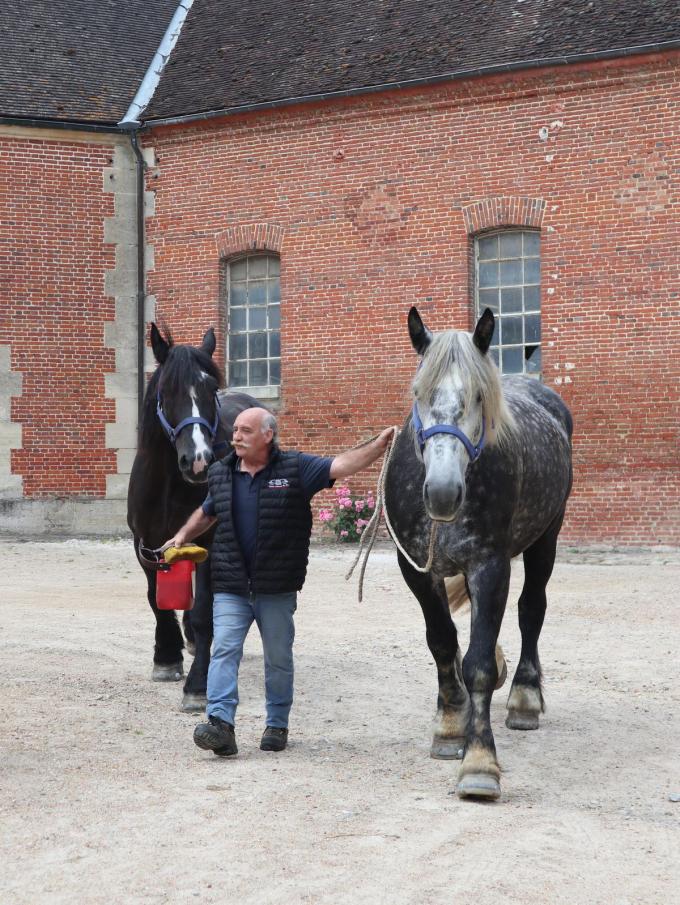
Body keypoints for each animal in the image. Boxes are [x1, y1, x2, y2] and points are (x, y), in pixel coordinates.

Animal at [127, 324, 258, 712]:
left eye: (210, 388)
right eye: (166, 391)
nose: (198, 461)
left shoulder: (209, 541)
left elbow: (203, 612)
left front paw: (197, 686)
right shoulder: (146, 544)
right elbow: (156, 600)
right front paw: (166, 659)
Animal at [386, 308, 572, 800]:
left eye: (478, 396)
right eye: (419, 393)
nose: (443, 492)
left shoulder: (489, 565)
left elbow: (479, 664)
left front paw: (480, 762)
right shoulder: (417, 569)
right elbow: (442, 642)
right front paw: (451, 723)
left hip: (546, 538)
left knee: (531, 609)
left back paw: (525, 697)